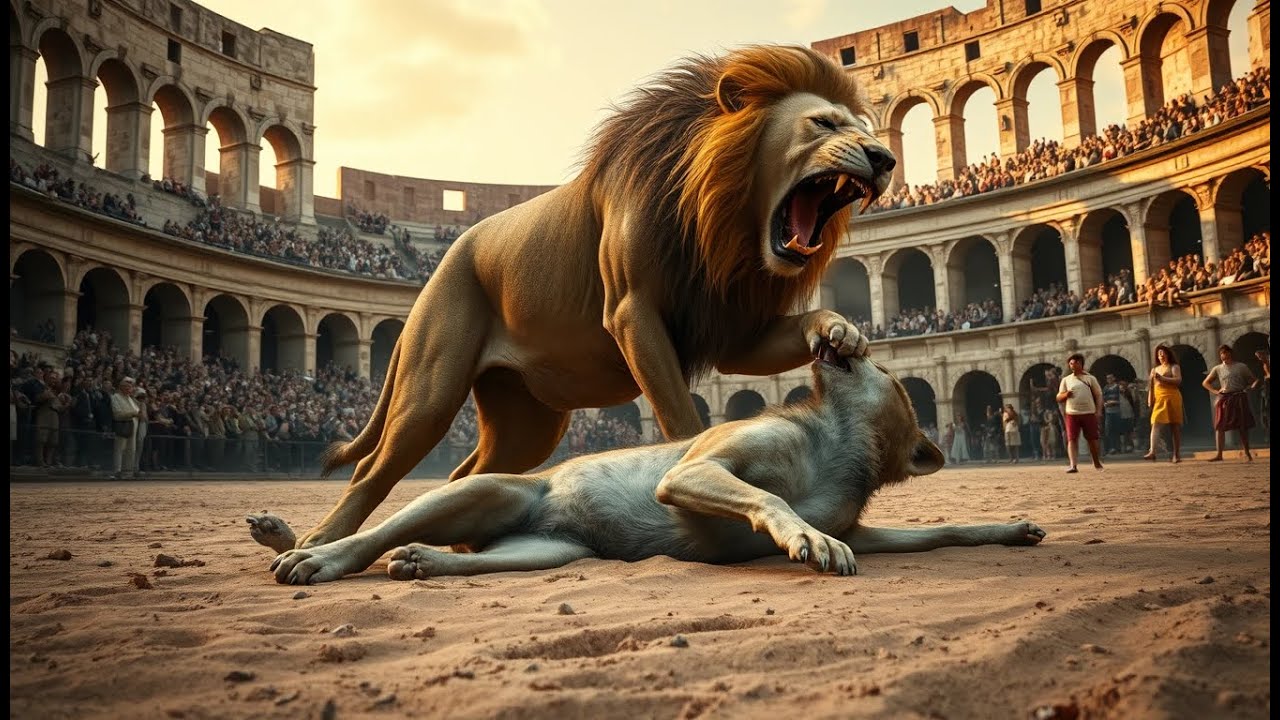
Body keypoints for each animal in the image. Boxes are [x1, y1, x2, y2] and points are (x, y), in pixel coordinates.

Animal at [298, 44, 896, 549]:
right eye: (823, 123)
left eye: (864, 129)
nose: (885, 158)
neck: (720, 218)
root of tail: (444, 259)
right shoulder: (633, 313)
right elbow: (684, 420)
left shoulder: (731, 331)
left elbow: (803, 321)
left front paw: (841, 332)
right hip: (431, 386)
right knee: (372, 468)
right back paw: (314, 542)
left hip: (527, 425)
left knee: (467, 472)